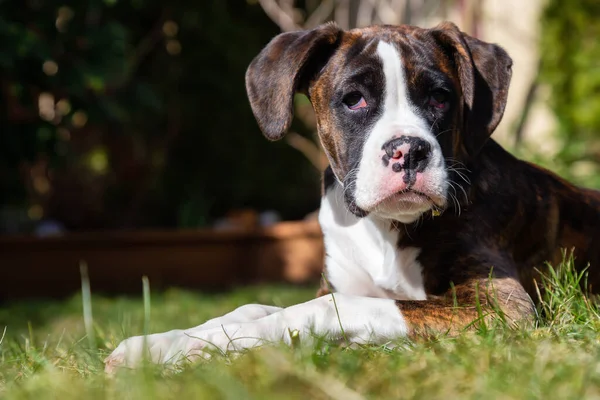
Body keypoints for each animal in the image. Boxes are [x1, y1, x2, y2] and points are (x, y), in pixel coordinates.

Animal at [103, 21, 600, 372]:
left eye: (441, 98)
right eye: (354, 99)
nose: (409, 150)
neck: (385, 229)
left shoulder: (501, 306)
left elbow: (320, 309)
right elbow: (251, 306)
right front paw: (164, 344)